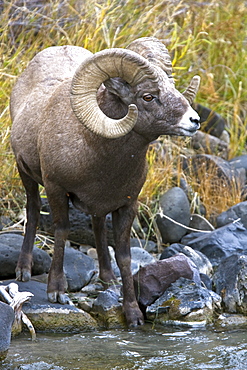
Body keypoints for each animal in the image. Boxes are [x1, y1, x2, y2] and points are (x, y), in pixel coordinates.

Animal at [10, 36, 201, 326]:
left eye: (173, 87)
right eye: (148, 96)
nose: (194, 121)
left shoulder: (127, 205)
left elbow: (124, 255)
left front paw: (133, 315)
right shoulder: (56, 190)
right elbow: (62, 231)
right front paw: (57, 292)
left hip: (97, 208)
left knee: (98, 227)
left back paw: (108, 279)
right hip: (26, 175)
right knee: (32, 211)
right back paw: (23, 271)